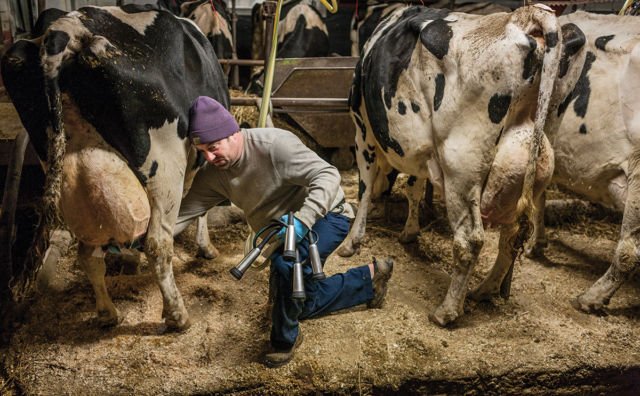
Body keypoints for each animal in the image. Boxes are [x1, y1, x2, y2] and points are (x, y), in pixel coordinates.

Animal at [0, 4, 228, 330]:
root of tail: (65, 29)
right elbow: (201, 208)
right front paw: (206, 247)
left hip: (64, 166)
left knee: (87, 252)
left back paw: (108, 313)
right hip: (164, 165)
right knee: (157, 243)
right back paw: (177, 315)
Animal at [340, 5, 584, 328]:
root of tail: (523, 17)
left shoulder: (361, 129)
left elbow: (365, 187)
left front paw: (351, 241)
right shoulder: (420, 149)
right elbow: (414, 187)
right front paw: (409, 231)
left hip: (461, 168)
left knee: (470, 240)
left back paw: (447, 311)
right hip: (531, 163)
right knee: (512, 235)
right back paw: (485, 289)